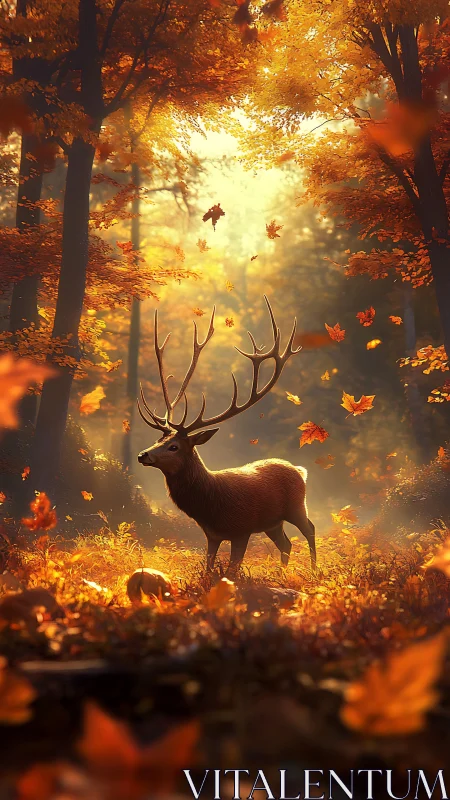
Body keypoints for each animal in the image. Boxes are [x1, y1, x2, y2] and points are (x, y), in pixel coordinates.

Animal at [137, 296, 316, 575]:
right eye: (159, 440)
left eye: (174, 446)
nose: (142, 455)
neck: (211, 507)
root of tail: (299, 469)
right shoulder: (212, 535)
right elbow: (209, 566)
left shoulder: (242, 529)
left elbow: (232, 570)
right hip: (272, 522)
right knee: (286, 543)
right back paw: (282, 573)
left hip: (296, 505)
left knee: (310, 529)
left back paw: (314, 569)